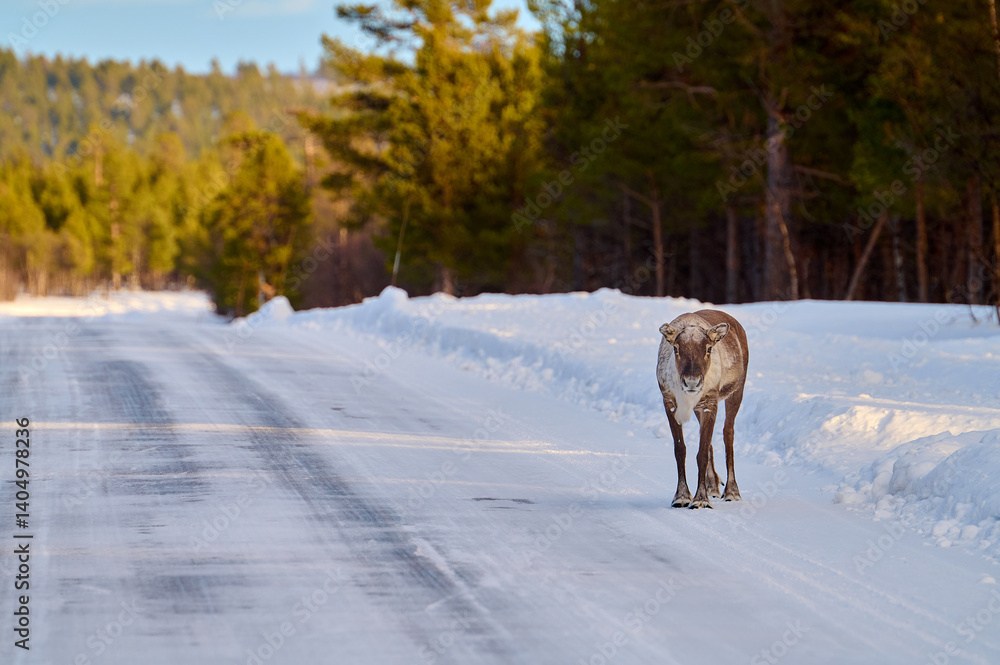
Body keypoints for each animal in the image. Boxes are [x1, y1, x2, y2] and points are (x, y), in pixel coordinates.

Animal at [656, 310, 749, 509]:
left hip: (737, 391)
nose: (692, 382)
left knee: (728, 433)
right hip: (699, 409)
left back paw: (732, 491)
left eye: (708, 349)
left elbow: (702, 453)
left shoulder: (710, 402)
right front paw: (682, 497)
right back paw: (713, 486)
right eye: (676, 348)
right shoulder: (669, 402)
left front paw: (700, 500)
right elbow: (680, 450)